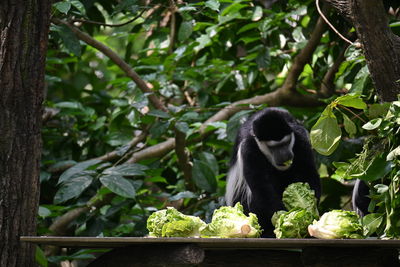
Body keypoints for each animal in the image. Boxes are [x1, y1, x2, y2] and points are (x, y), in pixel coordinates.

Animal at [225, 108, 322, 238]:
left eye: (286, 143)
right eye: (273, 147)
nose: (285, 155)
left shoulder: (300, 138)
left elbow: (307, 171)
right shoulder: (248, 149)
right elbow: (261, 187)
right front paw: (285, 217)